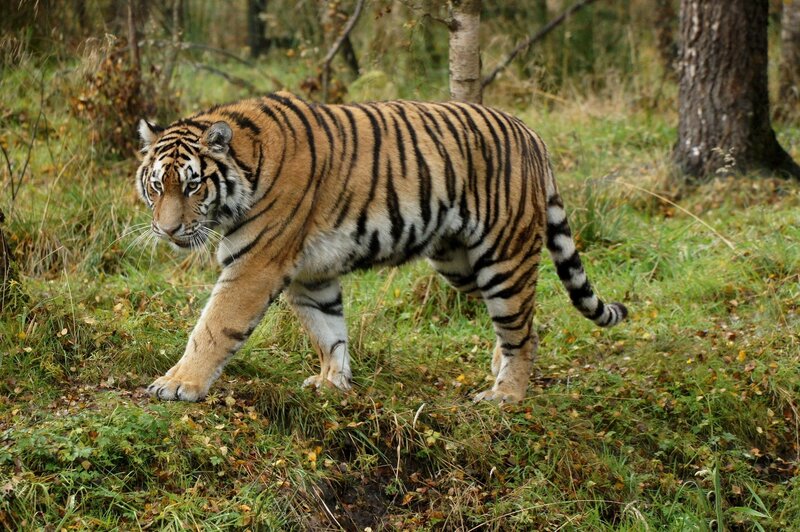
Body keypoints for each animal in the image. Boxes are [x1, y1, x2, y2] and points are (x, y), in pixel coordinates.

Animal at [136, 91, 627, 404]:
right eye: (157, 186)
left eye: (193, 186)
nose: (167, 230)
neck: (248, 163)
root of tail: (531, 133)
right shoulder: (310, 273)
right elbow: (327, 331)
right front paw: (333, 382)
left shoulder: (256, 265)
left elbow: (214, 327)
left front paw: (178, 383)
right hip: (461, 264)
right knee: (524, 324)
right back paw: (498, 367)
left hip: (502, 256)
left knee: (519, 327)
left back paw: (506, 394)